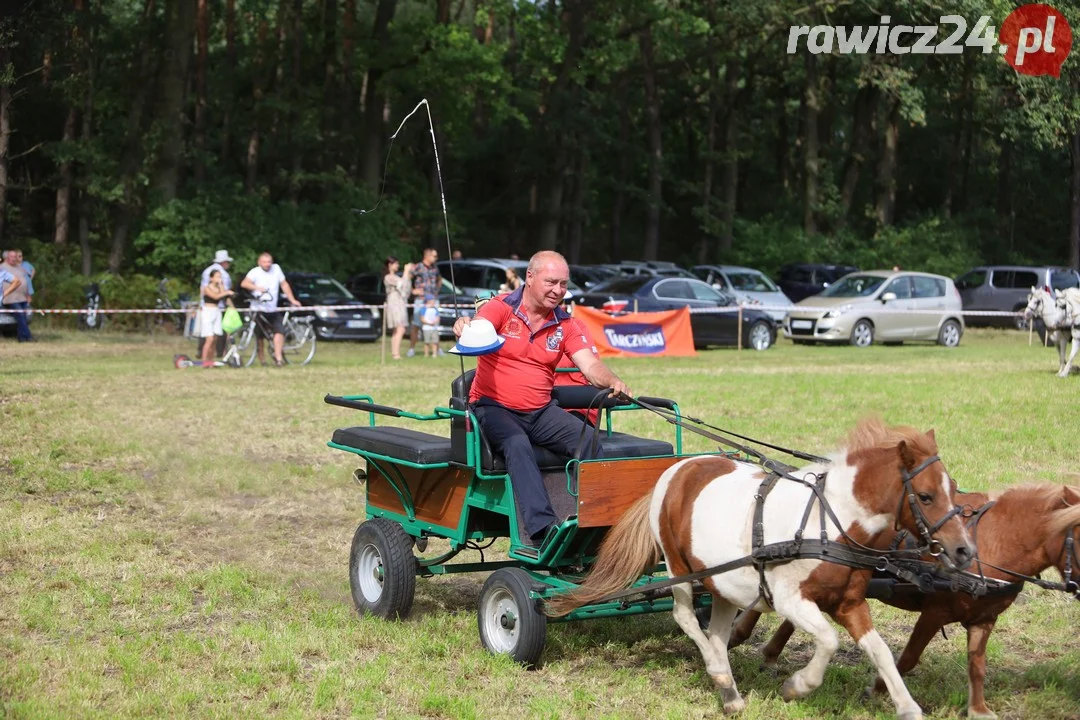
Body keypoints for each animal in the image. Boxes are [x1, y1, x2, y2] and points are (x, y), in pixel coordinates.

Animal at [552, 418, 976, 716]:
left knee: (717, 634)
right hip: (678, 568)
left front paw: (907, 707)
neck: (830, 521)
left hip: (720, 581)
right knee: (685, 616)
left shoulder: (850, 603)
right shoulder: (791, 601)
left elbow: (880, 651)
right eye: (925, 495)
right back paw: (719, 673)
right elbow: (829, 641)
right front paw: (797, 686)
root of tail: (676, 471)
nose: (964, 550)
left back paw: (729, 693)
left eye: (953, 487)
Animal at [725, 483, 1080, 720]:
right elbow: (909, 658)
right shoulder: (934, 612)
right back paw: (739, 635)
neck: (992, 541)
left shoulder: (984, 619)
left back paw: (769, 651)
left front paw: (978, 709)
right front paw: (879, 688)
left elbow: (977, 665)